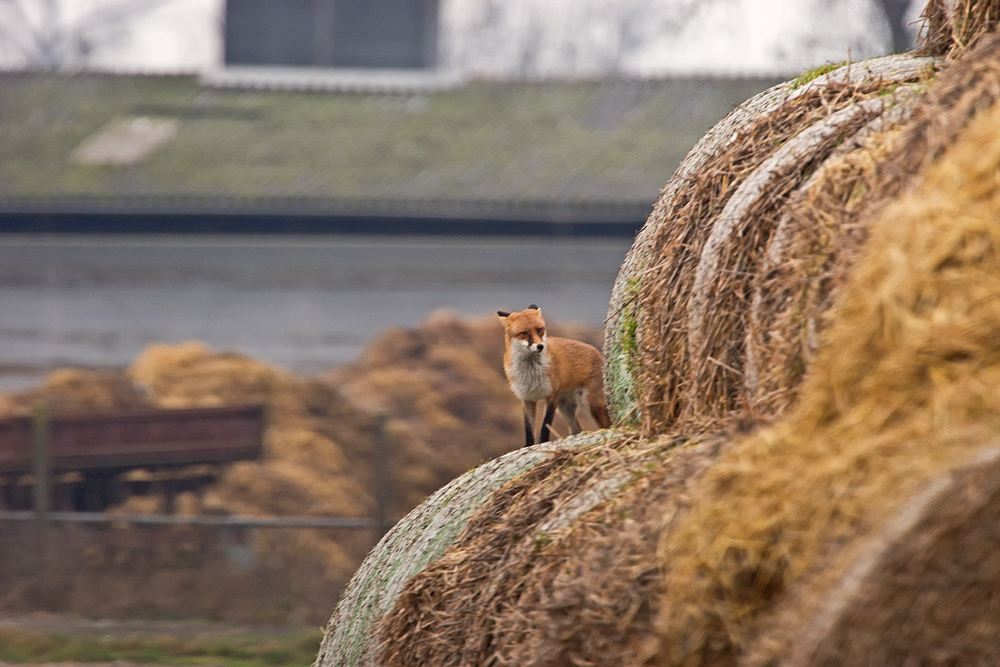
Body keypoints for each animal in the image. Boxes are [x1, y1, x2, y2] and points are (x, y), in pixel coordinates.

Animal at [497, 305, 611, 447]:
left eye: (540, 330)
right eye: (524, 333)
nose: (540, 346)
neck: (531, 372)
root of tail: (600, 354)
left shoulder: (551, 396)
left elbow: (545, 426)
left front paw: (543, 443)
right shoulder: (526, 398)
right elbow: (528, 430)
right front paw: (529, 446)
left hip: (590, 404)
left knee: (607, 425)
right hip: (565, 408)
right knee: (577, 430)